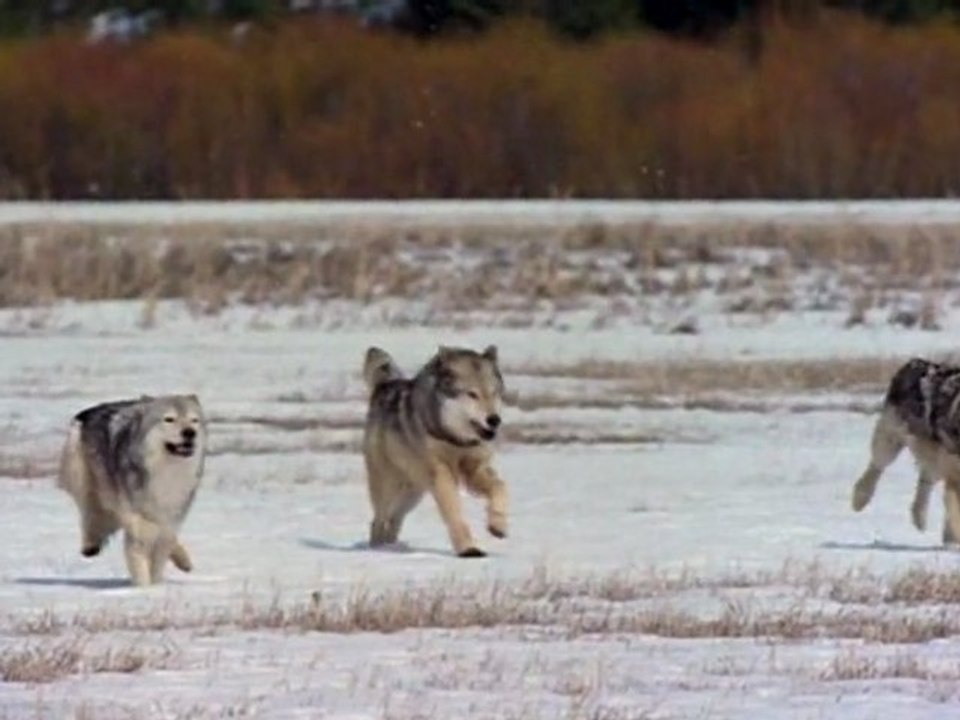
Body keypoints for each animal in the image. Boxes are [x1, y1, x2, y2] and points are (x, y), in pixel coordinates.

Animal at [57, 394, 207, 586]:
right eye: (169, 419)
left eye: (194, 420)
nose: (189, 432)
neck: (166, 474)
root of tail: (88, 412)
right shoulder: (138, 528)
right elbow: (141, 566)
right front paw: (144, 590)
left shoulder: (168, 520)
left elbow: (160, 557)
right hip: (83, 480)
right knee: (90, 511)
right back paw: (90, 544)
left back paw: (184, 560)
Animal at [362, 345, 508, 558]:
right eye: (472, 394)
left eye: (493, 393)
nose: (494, 420)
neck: (455, 439)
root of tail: (386, 384)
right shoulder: (441, 475)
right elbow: (454, 511)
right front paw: (468, 549)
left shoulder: (474, 469)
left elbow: (500, 487)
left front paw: (498, 525)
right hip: (388, 488)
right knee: (378, 521)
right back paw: (377, 549)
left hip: (413, 494)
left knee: (394, 519)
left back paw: (392, 546)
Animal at [851, 358, 960, 544]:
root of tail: (916, 361)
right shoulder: (953, 473)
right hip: (889, 442)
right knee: (875, 467)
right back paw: (860, 500)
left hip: (932, 459)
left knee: (925, 481)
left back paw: (921, 520)